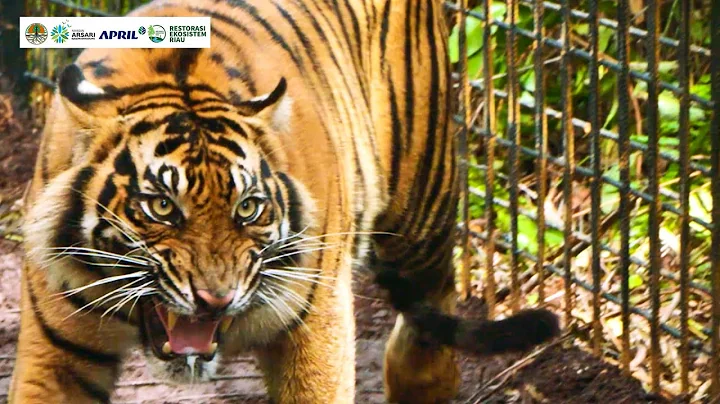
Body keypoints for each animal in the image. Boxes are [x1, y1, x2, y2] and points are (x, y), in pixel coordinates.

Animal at [9, 0, 560, 403]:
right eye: (161, 206)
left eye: (247, 208)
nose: (216, 300)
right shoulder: (57, 351)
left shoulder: (314, 325)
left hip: (422, 200)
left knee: (431, 311)